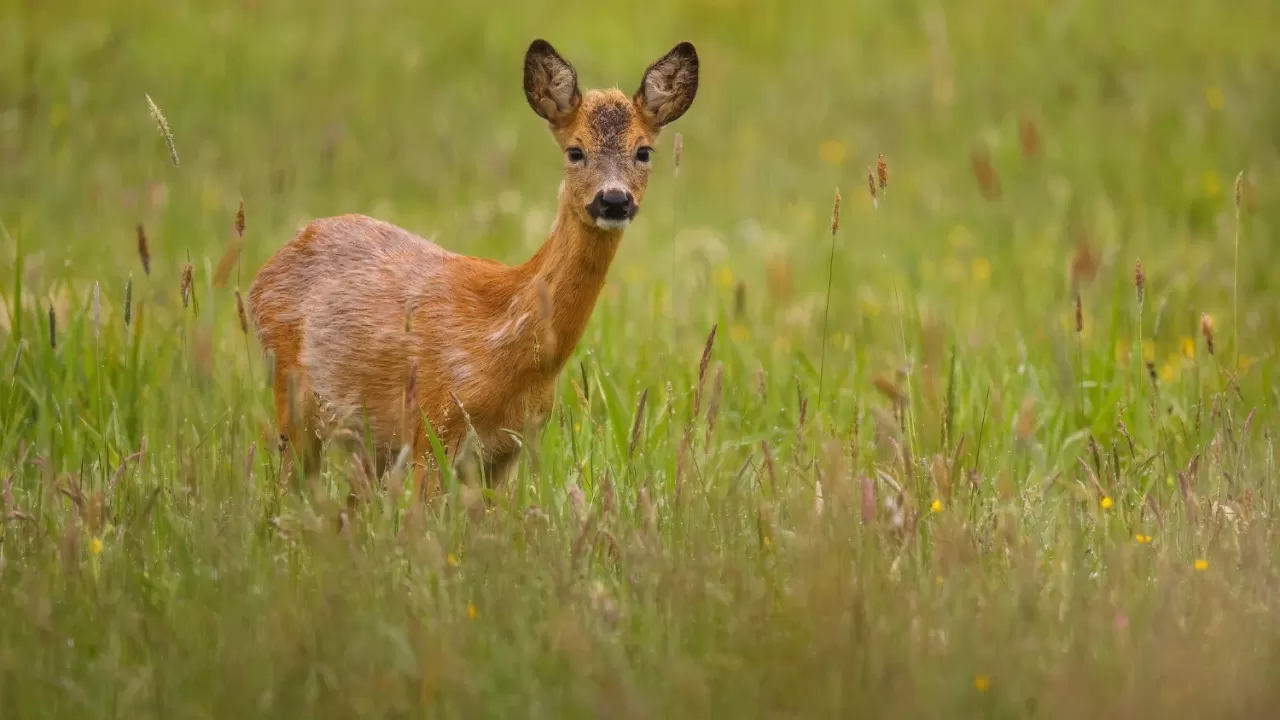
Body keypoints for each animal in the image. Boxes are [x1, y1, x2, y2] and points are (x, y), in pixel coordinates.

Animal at [247, 39, 701, 497]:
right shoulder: (432, 428)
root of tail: (263, 274)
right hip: (293, 397)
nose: (614, 200)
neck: (504, 342)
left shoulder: (509, 449)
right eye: (575, 151)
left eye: (643, 152)